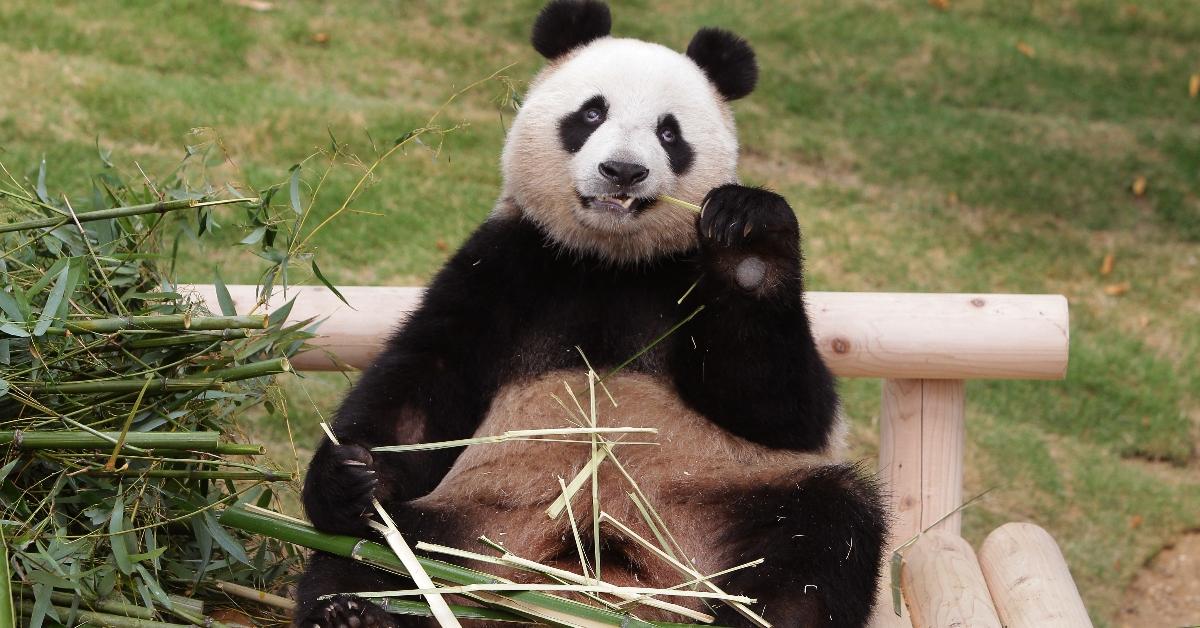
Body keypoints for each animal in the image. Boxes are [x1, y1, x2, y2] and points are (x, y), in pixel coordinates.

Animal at [295, 2, 888, 624]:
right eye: (591, 112)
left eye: (669, 131)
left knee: (823, 529)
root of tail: (587, 587)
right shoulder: (508, 263)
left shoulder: (680, 278)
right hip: (476, 520)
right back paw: (352, 610)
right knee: (376, 553)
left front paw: (749, 241)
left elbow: (781, 407)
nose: (623, 171)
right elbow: (423, 385)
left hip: (713, 504)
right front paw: (348, 477)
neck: (611, 262)